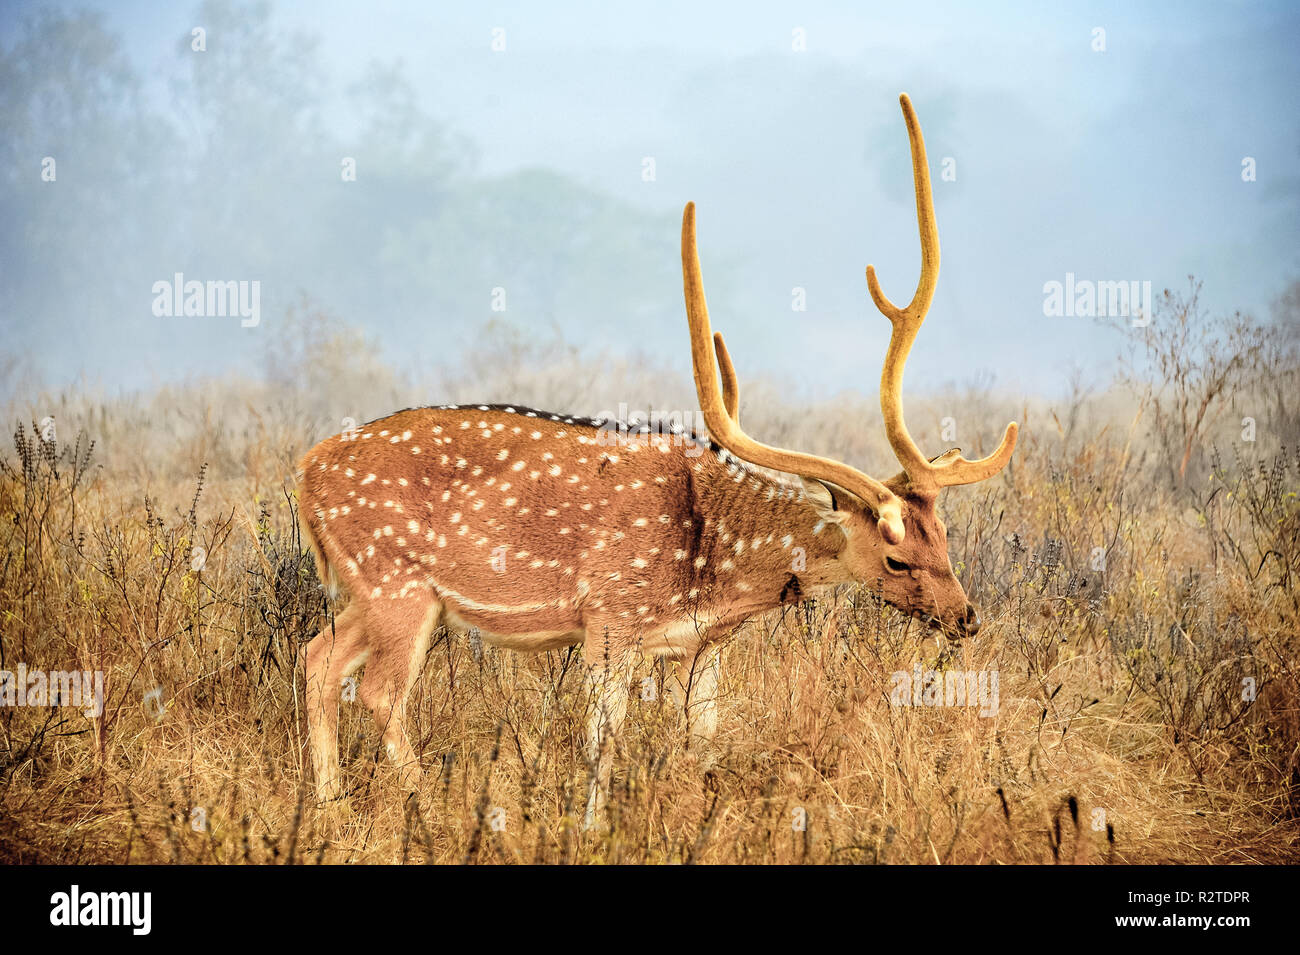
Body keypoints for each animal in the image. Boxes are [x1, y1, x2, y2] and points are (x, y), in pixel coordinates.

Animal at [297, 98, 1013, 831]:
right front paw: (591, 827)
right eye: (896, 558)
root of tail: (304, 470)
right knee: (378, 690)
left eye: (945, 538)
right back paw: (433, 812)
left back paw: (329, 808)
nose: (966, 617)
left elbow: (702, 739)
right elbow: (601, 739)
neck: (717, 566)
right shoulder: (611, 618)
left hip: (376, 593)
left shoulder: (705, 645)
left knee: (316, 659)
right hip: (396, 581)